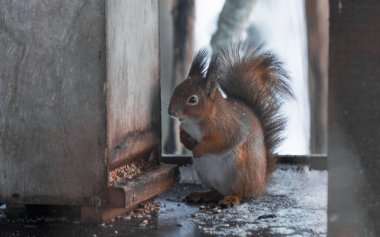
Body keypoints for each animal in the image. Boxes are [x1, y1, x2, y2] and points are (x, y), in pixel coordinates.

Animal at [168, 39, 292, 206]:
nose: (171, 112)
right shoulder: (185, 127)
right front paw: (187, 142)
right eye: (177, 88)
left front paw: (199, 149)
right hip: (208, 176)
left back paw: (232, 198)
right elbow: (182, 134)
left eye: (192, 99)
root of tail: (260, 185)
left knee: (241, 193)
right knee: (217, 192)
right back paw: (202, 194)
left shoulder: (229, 127)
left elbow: (221, 142)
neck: (195, 121)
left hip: (242, 170)